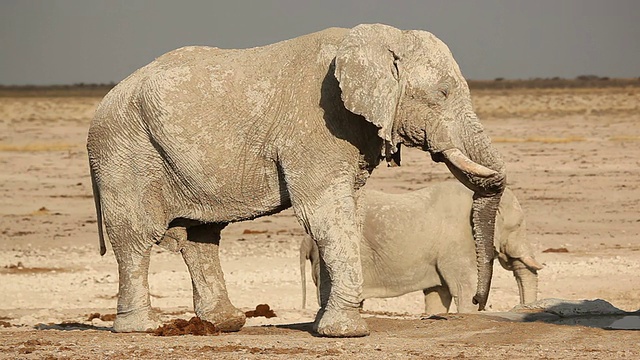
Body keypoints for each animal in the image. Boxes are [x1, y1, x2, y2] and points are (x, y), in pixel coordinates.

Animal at [86, 24, 504, 338]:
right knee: (135, 236)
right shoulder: (316, 124)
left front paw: (324, 326)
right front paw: (347, 332)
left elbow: (346, 214)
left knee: (200, 236)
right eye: (442, 93)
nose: (479, 302)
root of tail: (103, 104)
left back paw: (225, 323)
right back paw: (143, 327)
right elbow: (325, 215)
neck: (377, 39)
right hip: (125, 149)